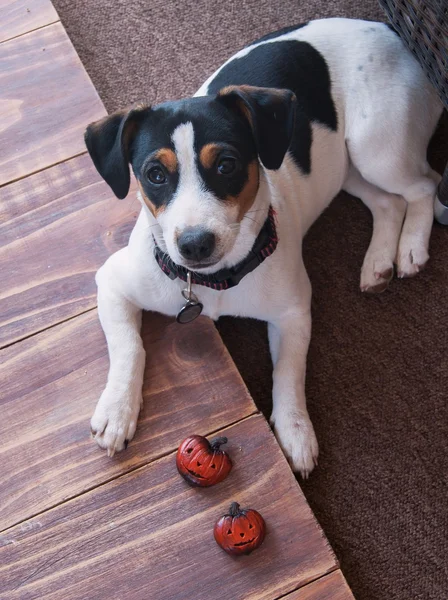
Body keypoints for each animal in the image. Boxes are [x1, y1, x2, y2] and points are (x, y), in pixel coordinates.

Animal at [86, 19, 442, 478]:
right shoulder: (113, 283)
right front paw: (117, 410)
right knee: (389, 202)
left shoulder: (293, 313)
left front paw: (295, 431)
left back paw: (411, 247)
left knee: (425, 187)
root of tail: (381, 25)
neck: (214, 283)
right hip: (345, 167)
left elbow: (288, 373)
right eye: (155, 174)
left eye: (226, 165)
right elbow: (128, 347)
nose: (194, 244)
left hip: (377, 150)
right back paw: (379, 262)